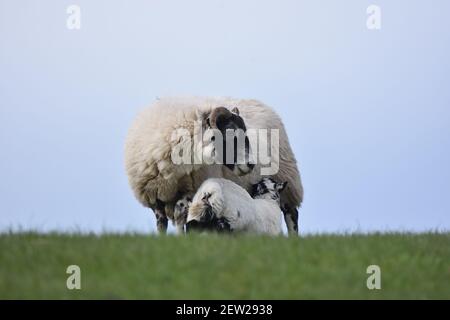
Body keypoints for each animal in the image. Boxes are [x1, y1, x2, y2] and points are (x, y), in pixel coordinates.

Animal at [125, 96, 304, 234]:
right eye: (230, 134)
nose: (251, 164)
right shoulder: (155, 199)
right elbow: (162, 225)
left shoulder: (190, 193)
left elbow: (181, 216)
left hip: (287, 180)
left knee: (291, 214)